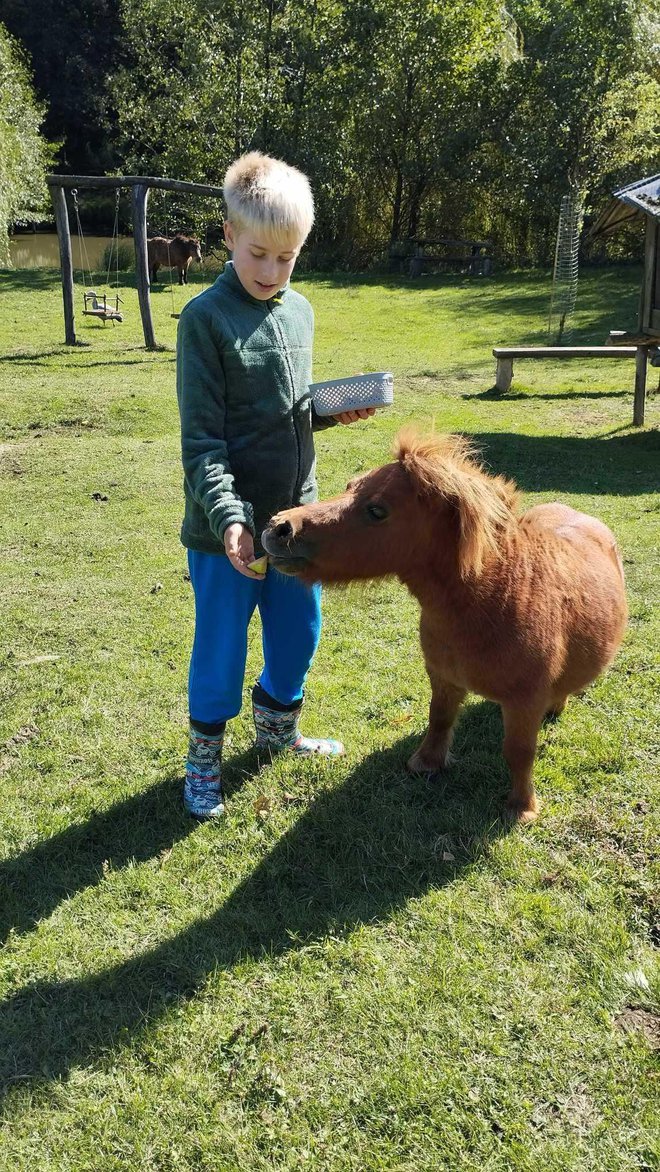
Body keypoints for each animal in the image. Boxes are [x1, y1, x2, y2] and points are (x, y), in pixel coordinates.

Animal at [261, 431, 628, 825]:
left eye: (377, 511)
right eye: (349, 487)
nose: (278, 527)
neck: (494, 599)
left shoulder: (523, 701)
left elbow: (519, 751)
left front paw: (521, 808)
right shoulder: (443, 677)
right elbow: (439, 719)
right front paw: (427, 764)